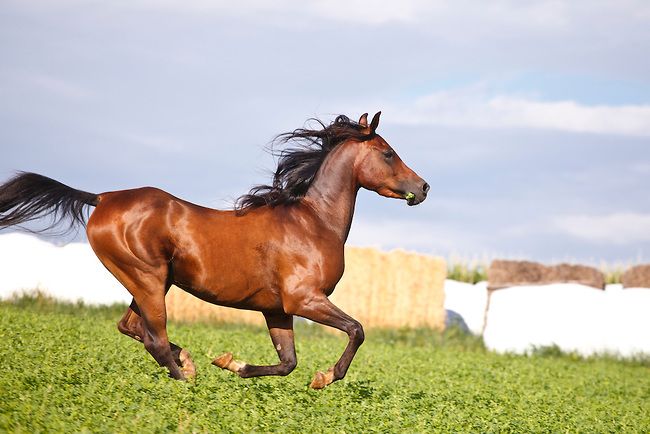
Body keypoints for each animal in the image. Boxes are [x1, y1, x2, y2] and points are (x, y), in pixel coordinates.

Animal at [0, 112, 428, 390]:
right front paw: (324, 378)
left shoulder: (277, 309)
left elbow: (287, 363)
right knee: (154, 338)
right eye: (388, 152)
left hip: (151, 281)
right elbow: (356, 330)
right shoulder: (305, 299)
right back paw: (185, 380)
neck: (313, 222)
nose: (423, 188)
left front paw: (230, 363)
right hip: (148, 279)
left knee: (132, 327)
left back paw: (188, 362)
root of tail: (103, 197)